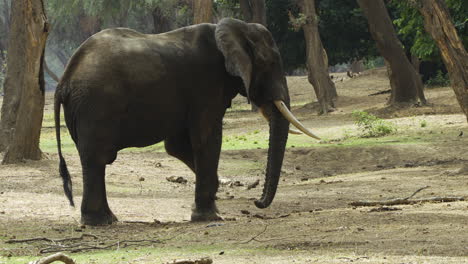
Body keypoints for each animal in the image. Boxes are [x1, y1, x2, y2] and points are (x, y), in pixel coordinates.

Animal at [54, 18, 318, 225]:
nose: (256, 202)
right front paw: (210, 216)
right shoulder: (206, 85)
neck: (233, 28)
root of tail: (64, 80)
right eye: (270, 63)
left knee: (95, 160)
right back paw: (100, 221)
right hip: (97, 105)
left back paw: (107, 219)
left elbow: (177, 146)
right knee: (97, 158)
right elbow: (207, 138)